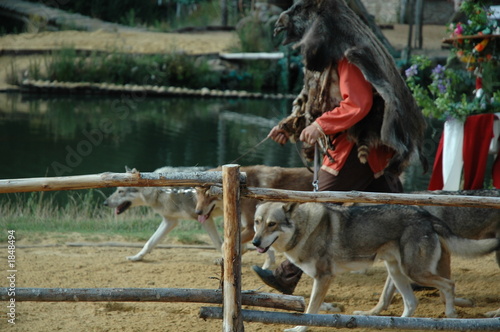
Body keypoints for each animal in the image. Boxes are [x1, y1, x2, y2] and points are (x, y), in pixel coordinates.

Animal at [254, 201, 500, 330]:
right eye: (257, 223)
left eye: (272, 224)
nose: (255, 242)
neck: (303, 229)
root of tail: (425, 215)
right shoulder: (320, 280)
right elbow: (313, 307)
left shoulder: (324, 278)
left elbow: (311, 311)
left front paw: (300, 327)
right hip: (397, 271)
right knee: (412, 303)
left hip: (415, 272)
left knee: (449, 284)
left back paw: (450, 314)